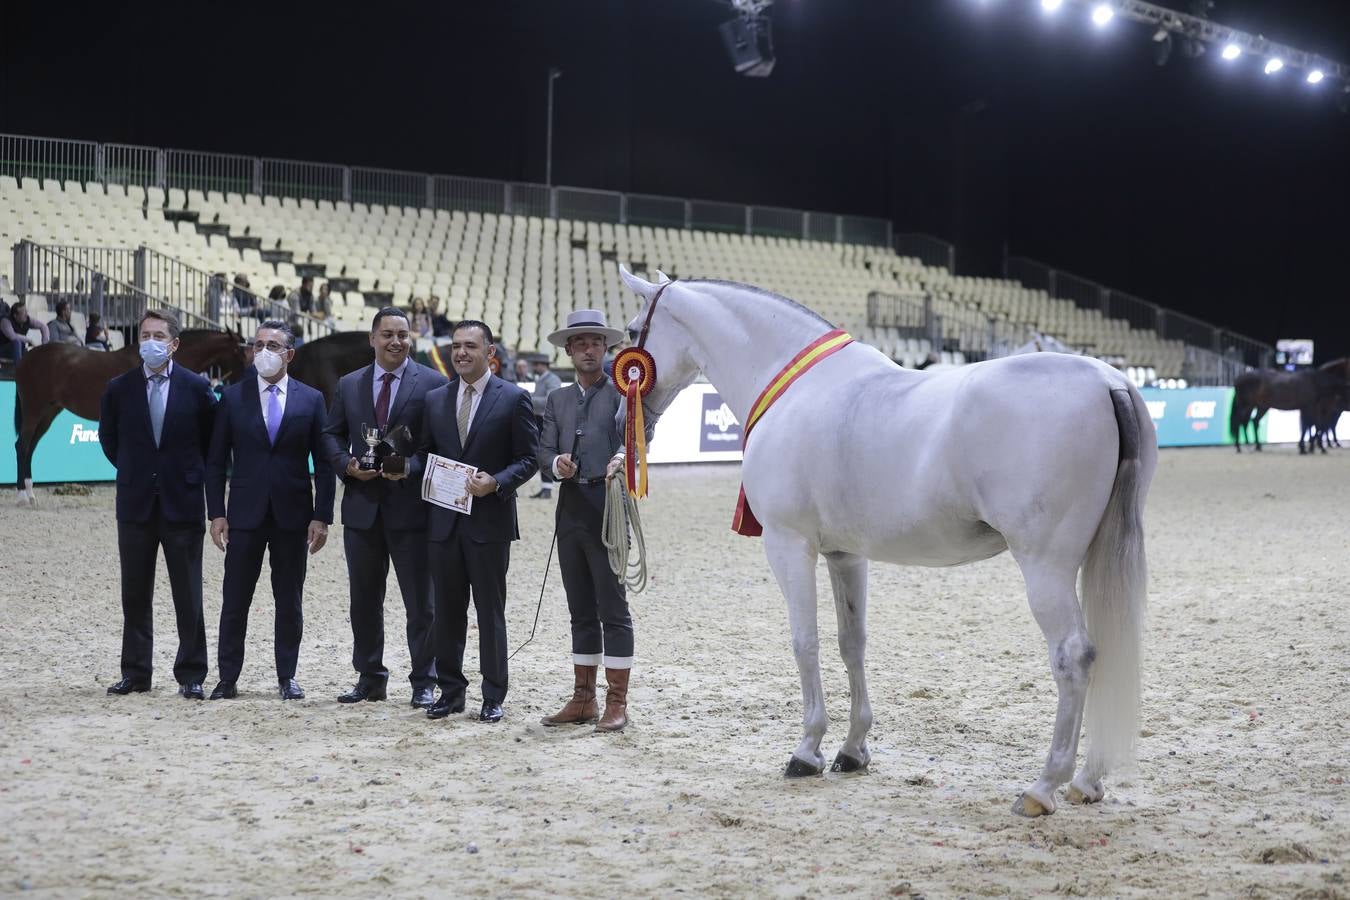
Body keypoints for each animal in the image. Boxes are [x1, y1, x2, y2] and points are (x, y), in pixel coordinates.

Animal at [14, 329, 251, 504]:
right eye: (241, 354)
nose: (248, 379)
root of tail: (28, 357)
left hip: (48, 412)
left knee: (31, 447)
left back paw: (30, 491)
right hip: (34, 409)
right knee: (23, 446)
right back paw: (23, 495)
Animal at [618, 267, 1155, 814]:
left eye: (631, 330)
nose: (628, 421)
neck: (797, 388)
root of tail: (1109, 381)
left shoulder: (790, 545)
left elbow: (804, 642)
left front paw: (806, 750)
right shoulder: (845, 555)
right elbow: (850, 643)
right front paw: (853, 749)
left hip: (1045, 566)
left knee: (1073, 655)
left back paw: (1043, 787)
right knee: (1105, 650)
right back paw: (1088, 781)